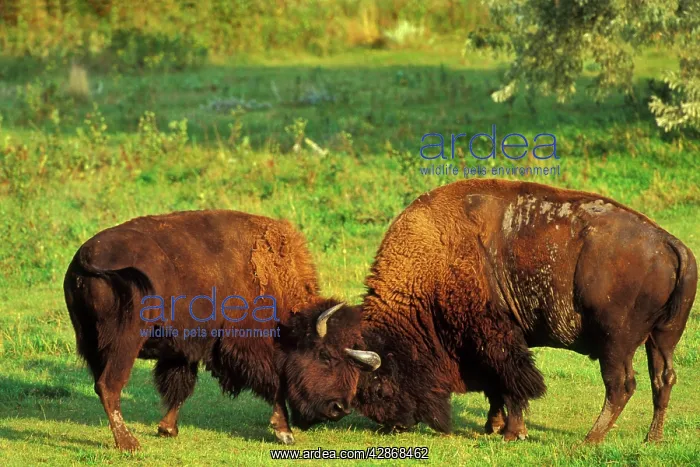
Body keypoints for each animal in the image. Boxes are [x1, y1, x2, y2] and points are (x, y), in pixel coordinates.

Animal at [63, 210, 381, 451]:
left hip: (90, 340)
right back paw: (129, 443)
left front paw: (167, 428)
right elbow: (276, 384)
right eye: (325, 356)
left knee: (100, 383)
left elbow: (181, 386)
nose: (340, 408)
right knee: (109, 385)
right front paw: (284, 432)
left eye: (355, 367)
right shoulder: (250, 348)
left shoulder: (184, 350)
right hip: (126, 342)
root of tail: (87, 255)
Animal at [348, 179, 696, 443]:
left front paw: (512, 433)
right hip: (661, 339)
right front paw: (494, 426)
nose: (392, 424)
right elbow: (495, 388)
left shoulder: (498, 340)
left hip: (615, 343)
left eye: (378, 385)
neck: (433, 260)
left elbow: (512, 384)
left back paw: (589, 440)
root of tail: (671, 244)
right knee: (663, 379)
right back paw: (652, 439)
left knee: (621, 386)